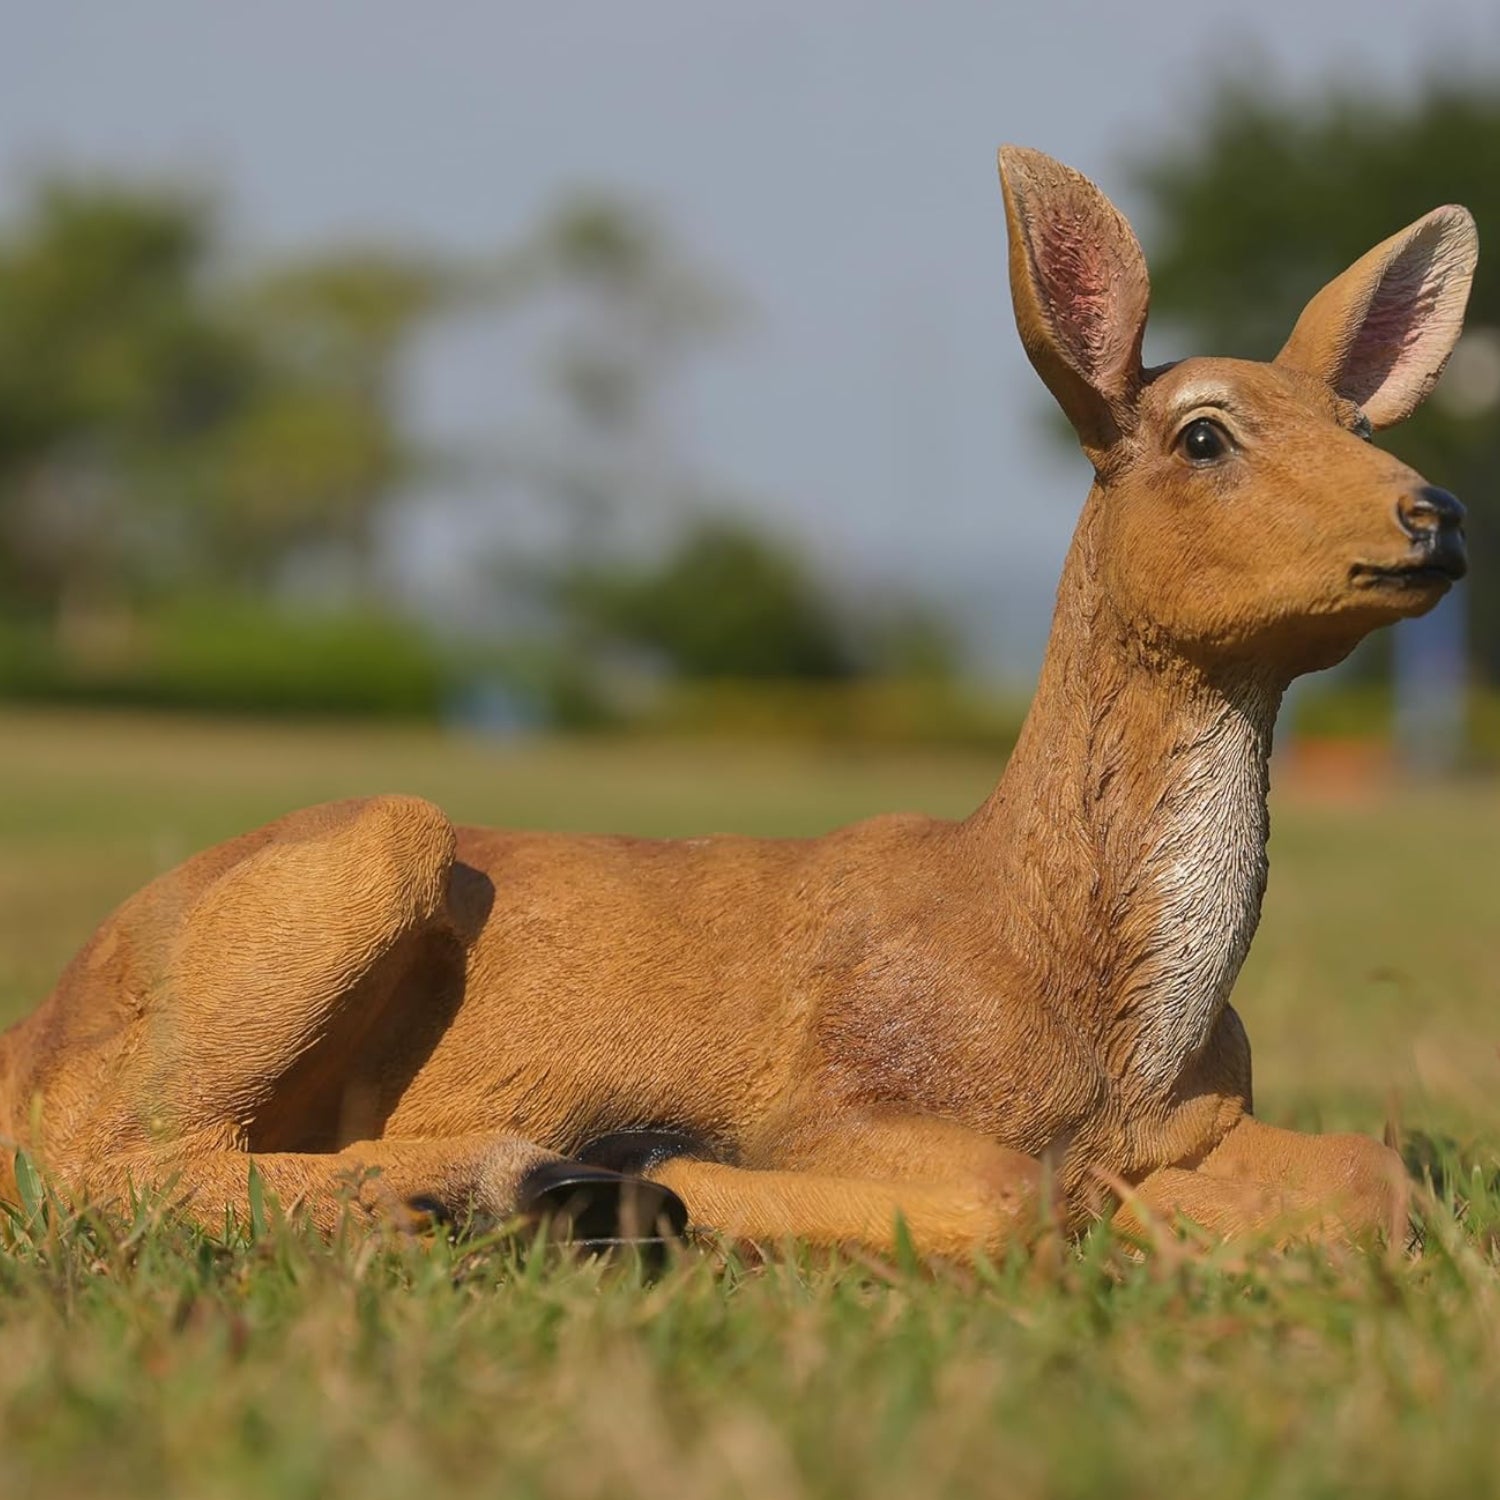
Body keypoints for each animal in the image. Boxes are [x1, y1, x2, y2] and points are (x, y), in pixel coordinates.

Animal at [0, 149, 1476, 1262]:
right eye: (1204, 434)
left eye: (1360, 427)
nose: (1438, 513)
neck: (1078, 990)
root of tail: (38, 1023)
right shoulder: (851, 1085)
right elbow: (1011, 1197)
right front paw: (653, 1175)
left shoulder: (1199, 1121)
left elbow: (1376, 1178)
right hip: (351, 861)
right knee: (101, 1155)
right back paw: (523, 1187)